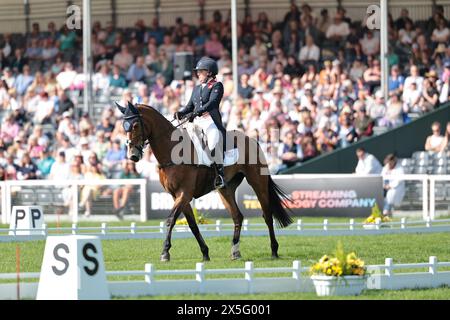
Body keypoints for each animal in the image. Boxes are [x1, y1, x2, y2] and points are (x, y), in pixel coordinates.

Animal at [114, 101, 294, 262]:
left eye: (135, 125)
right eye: (124, 126)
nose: (133, 155)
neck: (173, 150)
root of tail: (252, 140)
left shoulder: (184, 194)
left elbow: (170, 220)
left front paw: (165, 252)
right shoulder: (178, 196)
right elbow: (192, 225)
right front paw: (205, 253)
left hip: (257, 182)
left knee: (267, 215)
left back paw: (274, 250)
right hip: (225, 189)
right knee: (237, 216)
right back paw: (235, 252)